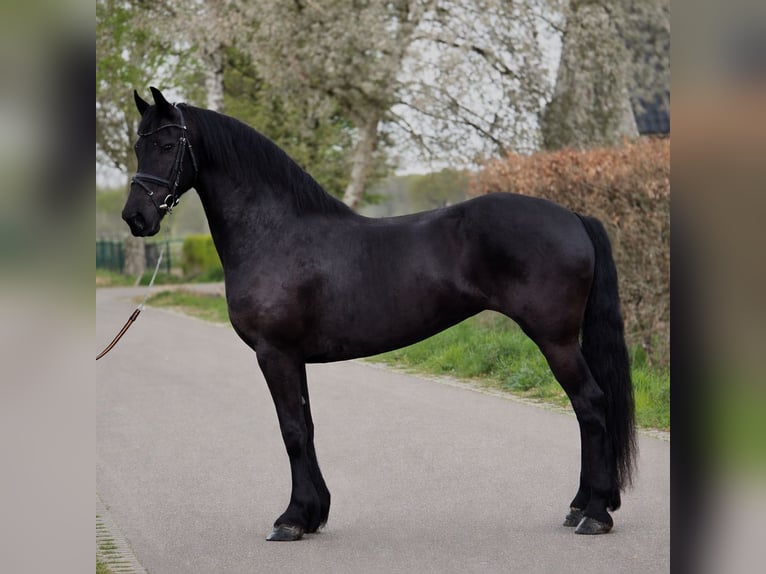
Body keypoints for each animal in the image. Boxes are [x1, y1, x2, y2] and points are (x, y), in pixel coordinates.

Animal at [123, 87, 636, 541]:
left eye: (167, 145)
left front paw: (291, 519)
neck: (275, 233)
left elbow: (291, 431)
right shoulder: (293, 358)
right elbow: (308, 427)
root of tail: (573, 217)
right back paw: (582, 506)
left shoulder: (274, 354)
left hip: (556, 339)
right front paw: (314, 513)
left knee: (591, 405)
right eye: (137, 145)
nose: (135, 218)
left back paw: (595, 514)